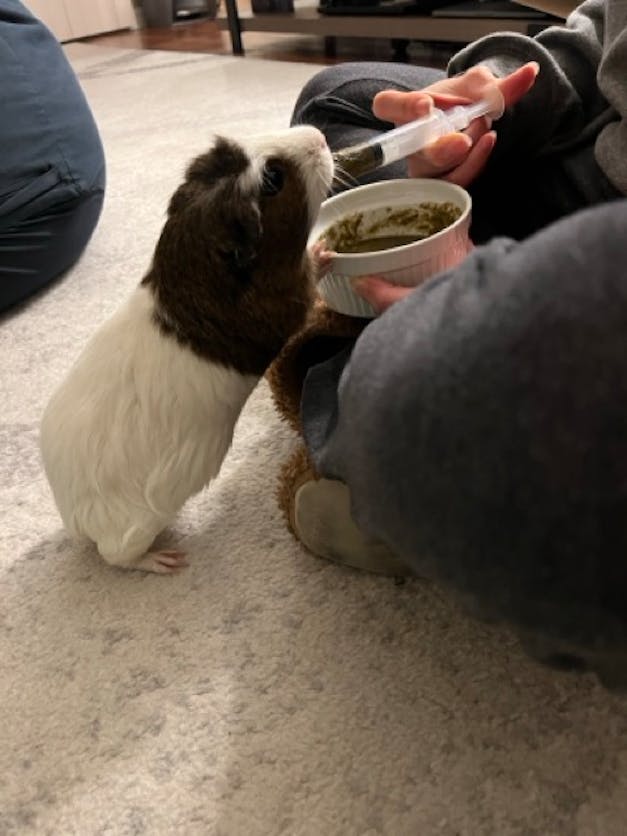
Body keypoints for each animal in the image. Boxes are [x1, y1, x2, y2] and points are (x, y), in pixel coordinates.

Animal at [40, 125, 334, 574]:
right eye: (273, 179)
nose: (318, 137)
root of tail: (70, 511)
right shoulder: (293, 300)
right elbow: (312, 279)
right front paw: (326, 252)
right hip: (136, 528)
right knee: (116, 556)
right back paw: (167, 561)